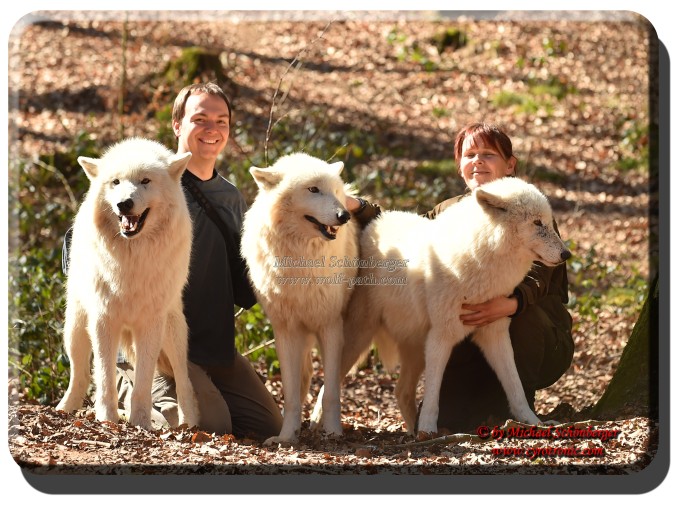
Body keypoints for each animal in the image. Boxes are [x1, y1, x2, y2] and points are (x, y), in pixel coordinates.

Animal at [55, 138, 197, 430]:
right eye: (116, 182)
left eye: (145, 181)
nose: (124, 204)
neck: (133, 260)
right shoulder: (103, 319)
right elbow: (105, 378)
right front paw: (107, 419)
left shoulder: (151, 323)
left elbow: (143, 383)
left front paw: (140, 422)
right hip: (75, 329)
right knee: (80, 375)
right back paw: (64, 409)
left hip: (173, 334)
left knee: (184, 380)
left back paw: (189, 423)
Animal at [243, 152, 362, 442]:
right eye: (313, 190)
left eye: (335, 192)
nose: (343, 215)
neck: (301, 262)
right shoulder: (286, 330)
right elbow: (291, 396)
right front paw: (287, 436)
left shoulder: (331, 326)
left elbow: (331, 392)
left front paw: (333, 432)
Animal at [314, 177, 568, 434]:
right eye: (537, 223)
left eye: (549, 223)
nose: (566, 254)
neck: (479, 258)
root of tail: (369, 228)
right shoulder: (441, 336)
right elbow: (433, 393)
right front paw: (428, 429)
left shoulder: (495, 334)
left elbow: (515, 386)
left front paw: (532, 421)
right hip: (361, 336)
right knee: (329, 382)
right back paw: (321, 425)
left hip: (414, 347)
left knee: (401, 391)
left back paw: (410, 430)